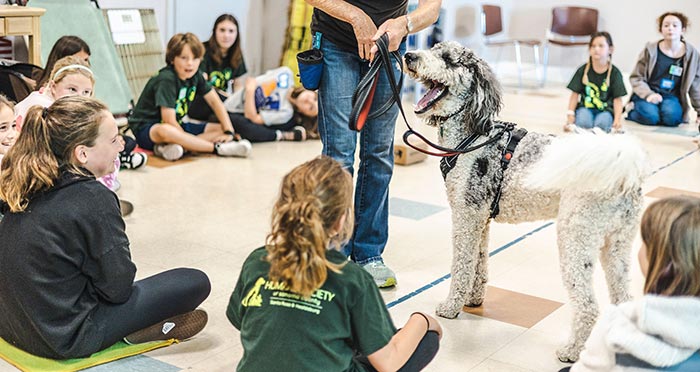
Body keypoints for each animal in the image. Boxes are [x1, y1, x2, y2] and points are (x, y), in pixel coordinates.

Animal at [402, 41, 648, 364]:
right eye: (432, 47)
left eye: (448, 59)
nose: (408, 55)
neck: (473, 135)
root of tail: (624, 169)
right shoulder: (480, 219)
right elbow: (479, 263)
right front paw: (473, 300)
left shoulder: (466, 217)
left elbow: (462, 265)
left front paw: (452, 306)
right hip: (617, 244)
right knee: (623, 299)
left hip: (575, 238)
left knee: (588, 306)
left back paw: (570, 351)